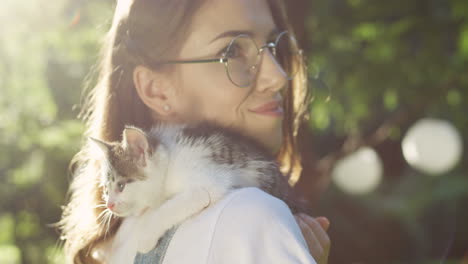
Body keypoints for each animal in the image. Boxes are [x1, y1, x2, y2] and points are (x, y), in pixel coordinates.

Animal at [92, 121, 300, 262]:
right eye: (106, 190)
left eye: (121, 186)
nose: (109, 205)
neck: (170, 164)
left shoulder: (207, 182)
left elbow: (168, 209)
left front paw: (145, 238)